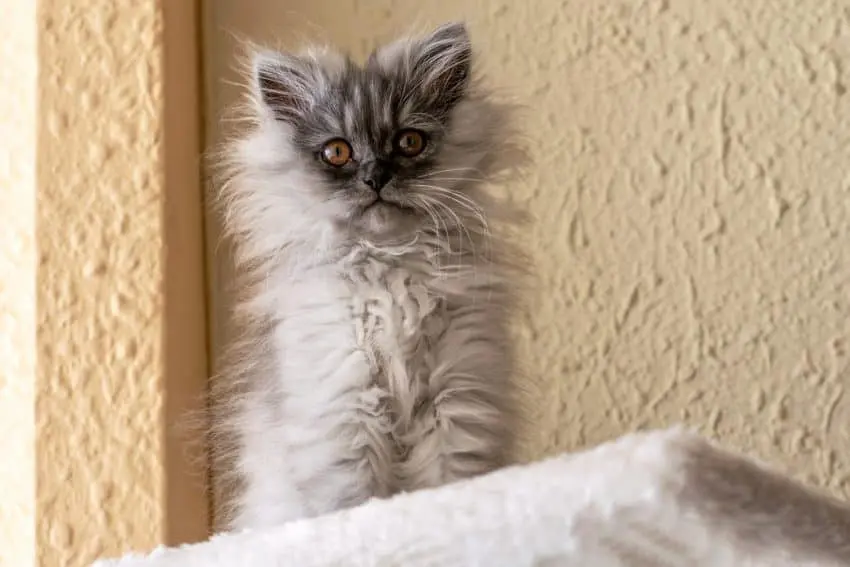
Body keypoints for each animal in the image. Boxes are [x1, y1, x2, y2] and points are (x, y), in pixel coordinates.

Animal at [212, 21, 528, 528]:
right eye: (337, 152)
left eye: (408, 142)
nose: (376, 178)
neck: (389, 264)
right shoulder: (345, 403)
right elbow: (352, 501)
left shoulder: (456, 396)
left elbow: (445, 484)